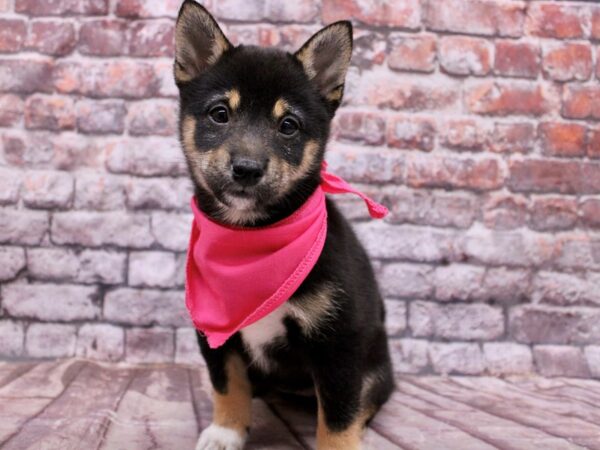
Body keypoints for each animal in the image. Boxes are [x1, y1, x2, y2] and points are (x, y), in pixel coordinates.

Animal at [172, 1, 394, 448]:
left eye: (288, 125)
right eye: (220, 114)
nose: (246, 168)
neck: (252, 237)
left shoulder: (340, 343)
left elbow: (339, 416)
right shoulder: (215, 337)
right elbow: (228, 386)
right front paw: (226, 431)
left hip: (377, 363)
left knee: (366, 401)